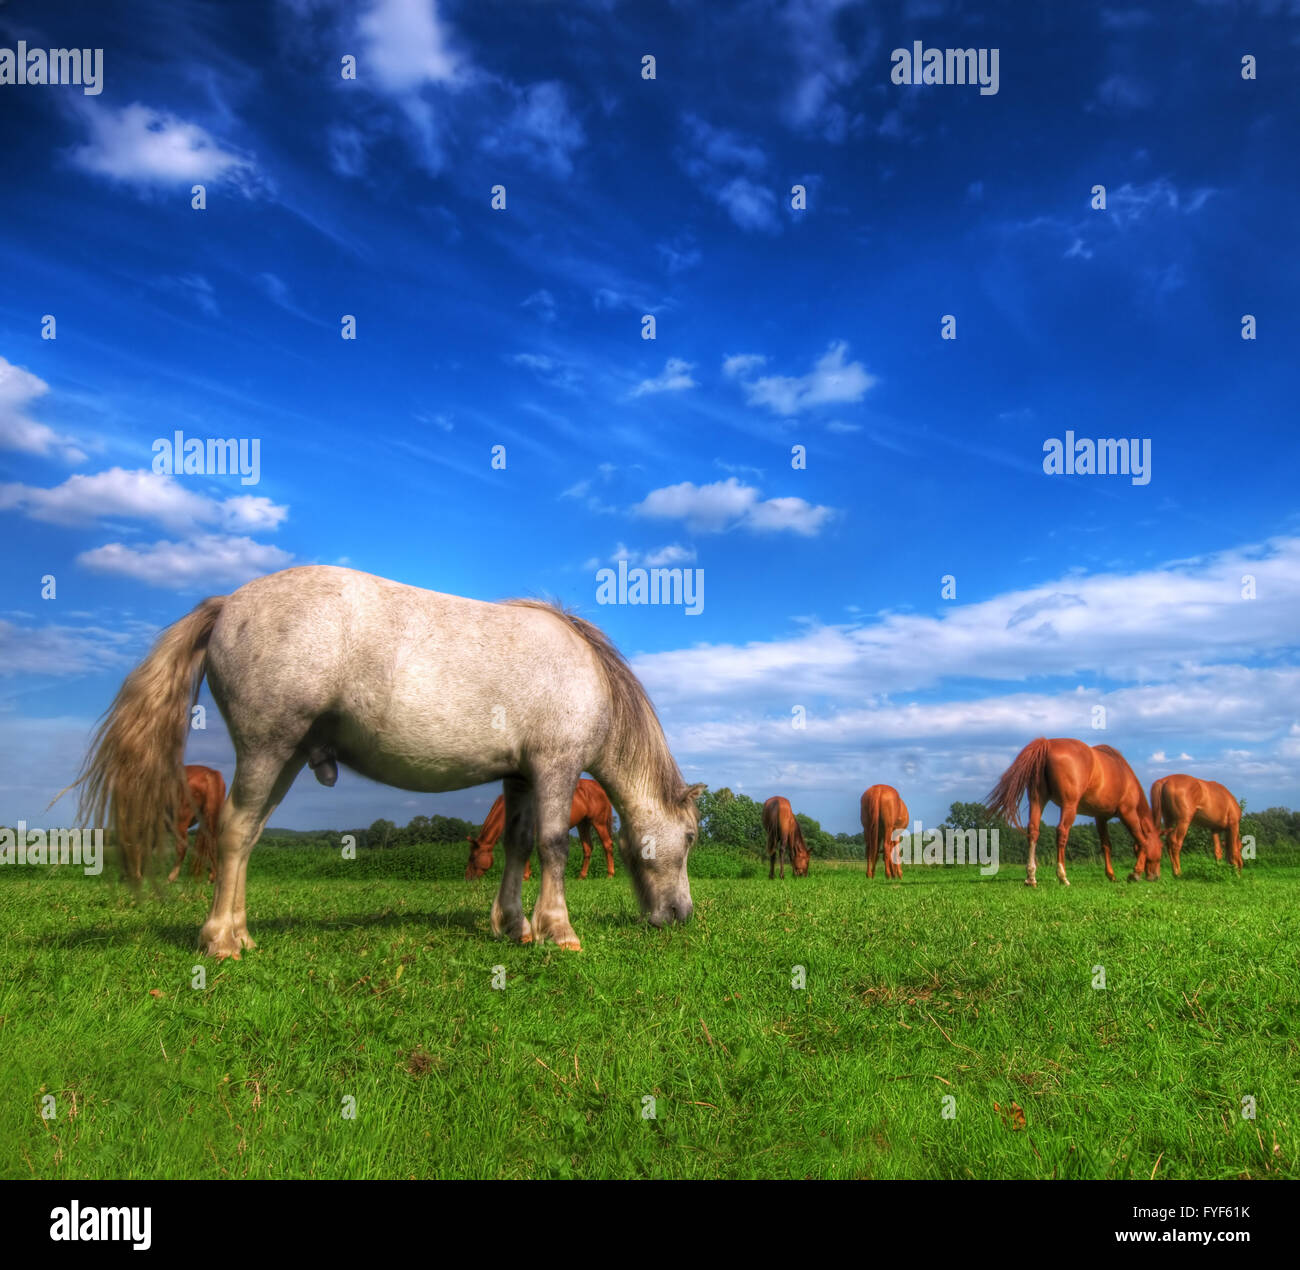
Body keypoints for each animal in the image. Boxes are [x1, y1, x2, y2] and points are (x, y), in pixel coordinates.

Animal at [465, 777, 617, 880]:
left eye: (473, 857)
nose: (468, 878)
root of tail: (598, 787)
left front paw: (525, 876)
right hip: (583, 824)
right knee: (588, 848)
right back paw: (582, 876)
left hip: (599, 822)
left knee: (607, 845)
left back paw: (610, 874)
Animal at [985, 737, 1163, 886]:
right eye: (1161, 848)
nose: (1155, 876)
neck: (1124, 776)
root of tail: (1047, 743)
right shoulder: (1128, 813)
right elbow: (1142, 840)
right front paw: (1135, 873)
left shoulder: (1100, 818)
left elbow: (1106, 845)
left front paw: (1111, 875)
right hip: (1069, 806)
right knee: (1062, 832)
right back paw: (1062, 876)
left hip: (1037, 800)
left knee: (1033, 831)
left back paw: (1031, 877)